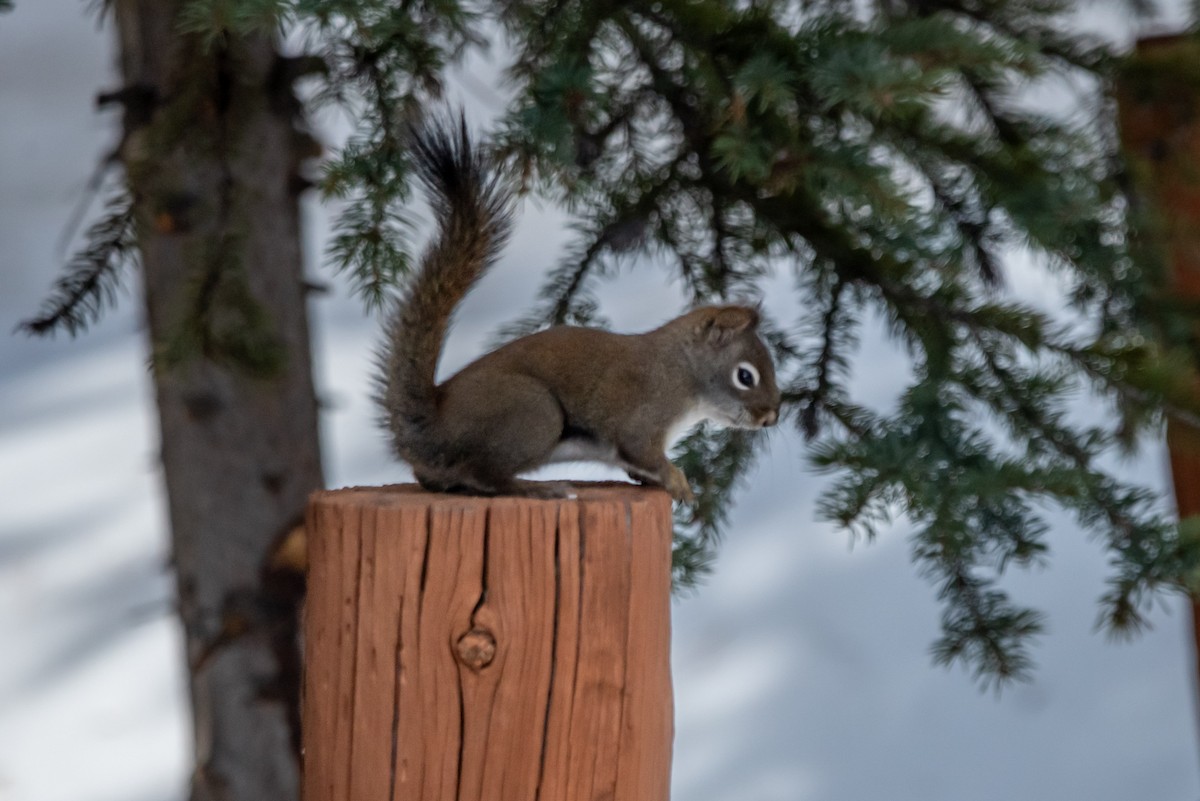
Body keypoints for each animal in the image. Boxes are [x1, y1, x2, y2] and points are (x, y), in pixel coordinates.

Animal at [380, 116, 782, 503]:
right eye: (745, 376)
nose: (771, 418)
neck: (682, 370)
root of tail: (431, 425)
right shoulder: (643, 417)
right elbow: (643, 453)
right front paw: (676, 480)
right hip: (534, 412)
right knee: (481, 474)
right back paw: (536, 489)